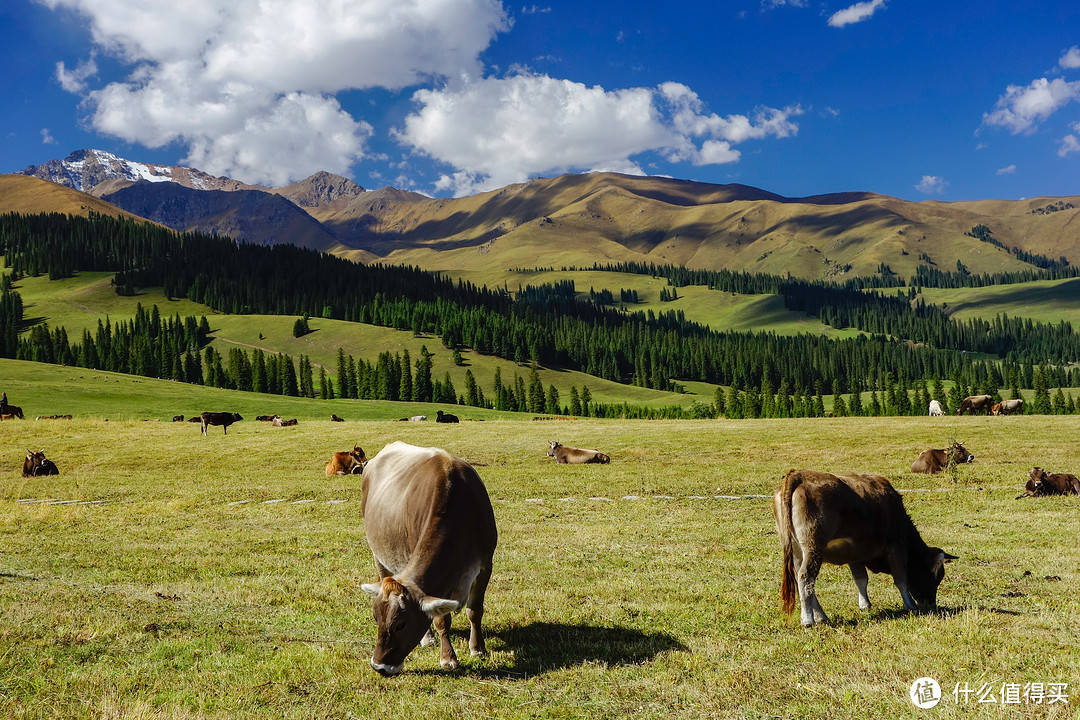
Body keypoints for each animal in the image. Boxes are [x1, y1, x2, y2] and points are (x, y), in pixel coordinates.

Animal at [362, 440, 496, 677]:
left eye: (401, 624)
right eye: (376, 619)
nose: (379, 666)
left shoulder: (485, 565)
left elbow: (475, 610)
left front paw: (477, 648)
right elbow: (441, 618)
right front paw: (448, 657)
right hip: (378, 555)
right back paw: (428, 639)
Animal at [777, 468, 954, 626]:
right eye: (937, 575)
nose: (931, 603)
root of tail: (800, 475)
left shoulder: (854, 554)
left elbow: (861, 579)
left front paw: (865, 605)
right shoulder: (896, 546)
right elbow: (901, 579)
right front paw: (910, 605)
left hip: (798, 551)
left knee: (801, 578)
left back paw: (821, 617)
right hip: (813, 547)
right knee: (806, 577)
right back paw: (808, 619)